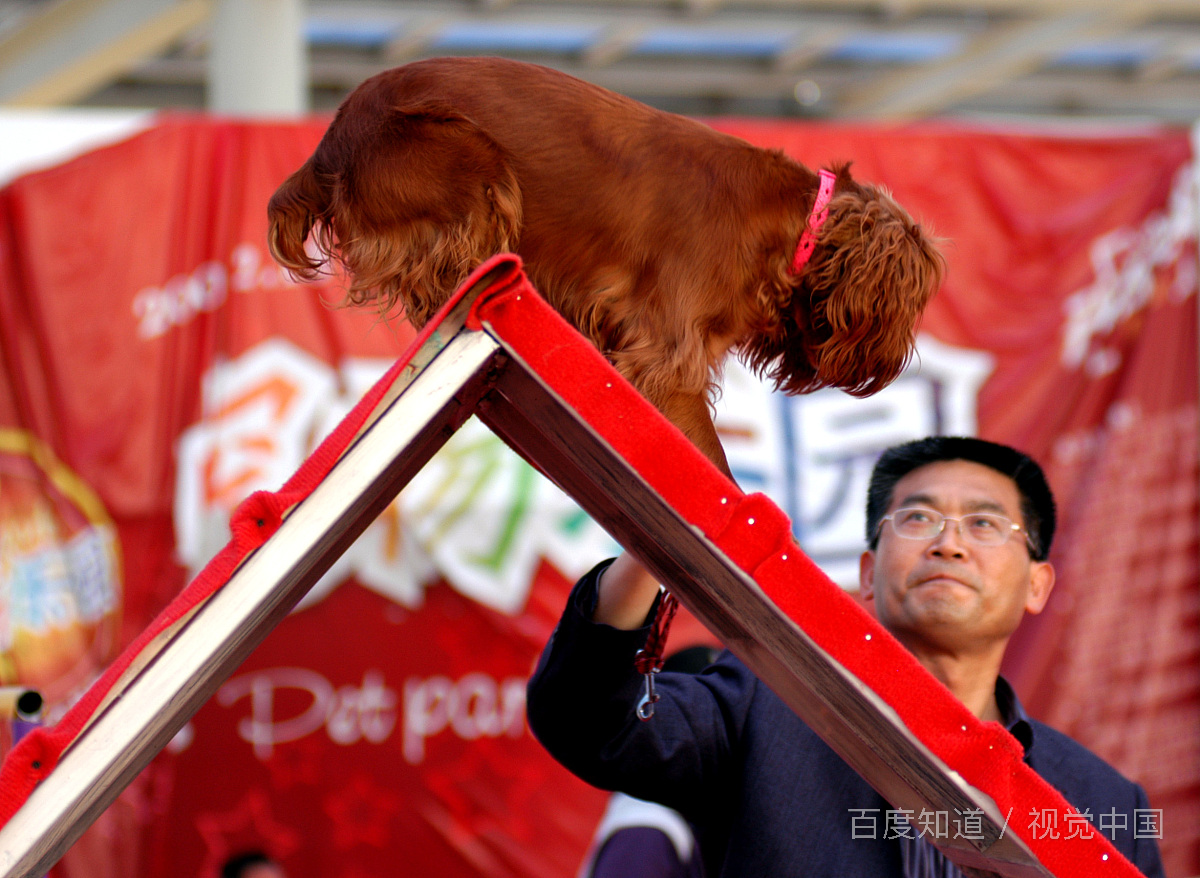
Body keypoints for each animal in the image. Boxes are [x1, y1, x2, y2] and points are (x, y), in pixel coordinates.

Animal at [267, 54, 940, 477]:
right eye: (911, 303)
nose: (893, 367)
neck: (793, 224)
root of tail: (330, 138)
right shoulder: (667, 358)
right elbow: (715, 466)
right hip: (471, 160)